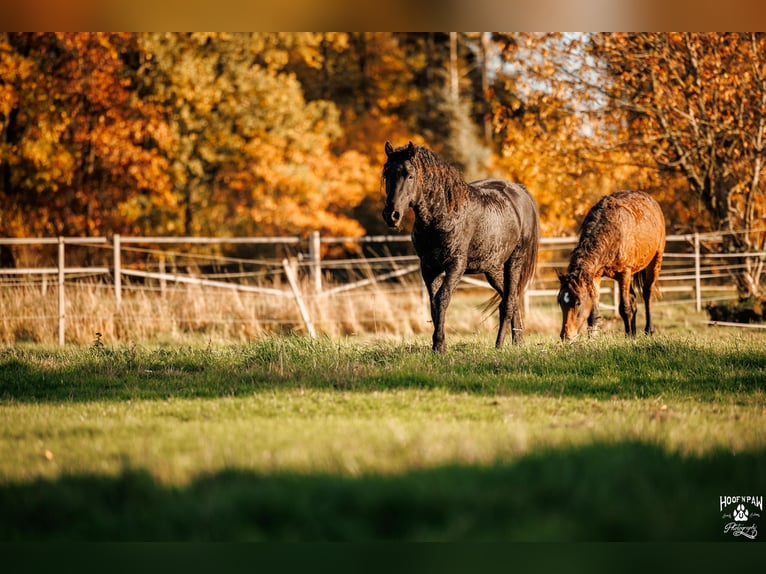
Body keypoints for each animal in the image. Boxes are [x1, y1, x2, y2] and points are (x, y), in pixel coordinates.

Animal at [382, 141, 540, 353]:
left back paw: (499, 345)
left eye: (410, 175)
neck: (442, 215)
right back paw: (518, 342)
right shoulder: (429, 268)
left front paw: (439, 346)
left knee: (508, 302)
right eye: (386, 174)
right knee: (512, 298)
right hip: (493, 269)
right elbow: (433, 304)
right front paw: (437, 345)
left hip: (514, 261)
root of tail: (520, 191)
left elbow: (442, 299)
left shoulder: (455, 265)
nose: (391, 215)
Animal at [557, 190, 666, 341]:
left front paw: (628, 338)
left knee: (647, 293)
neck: (612, 231)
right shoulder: (595, 276)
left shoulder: (624, 273)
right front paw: (592, 340)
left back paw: (648, 330)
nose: (566, 336)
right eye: (560, 301)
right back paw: (634, 333)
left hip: (655, 261)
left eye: (578, 302)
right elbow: (594, 314)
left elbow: (624, 308)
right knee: (633, 299)